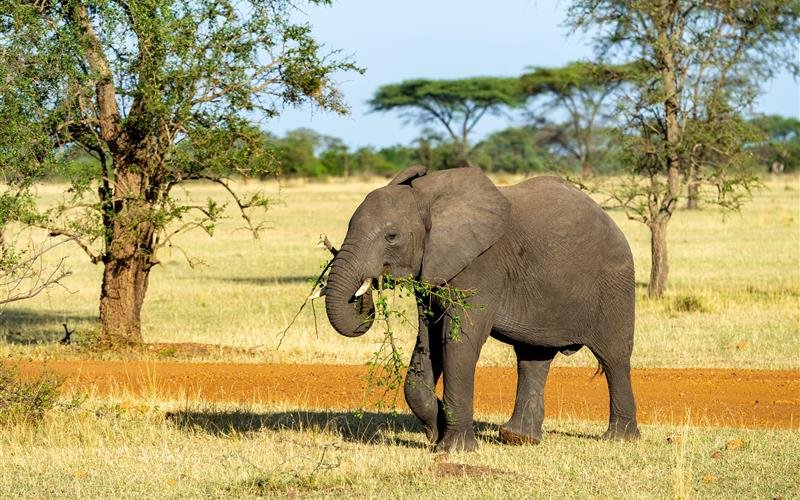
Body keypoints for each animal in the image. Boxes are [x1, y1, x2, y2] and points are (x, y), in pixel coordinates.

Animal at [322, 165, 640, 454]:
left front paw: (454, 449)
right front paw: (436, 428)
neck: (429, 199)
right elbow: (428, 341)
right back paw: (518, 438)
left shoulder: (480, 265)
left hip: (616, 285)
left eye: (391, 236)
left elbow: (458, 343)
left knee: (613, 357)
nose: (366, 293)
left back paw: (619, 439)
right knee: (532, 357)